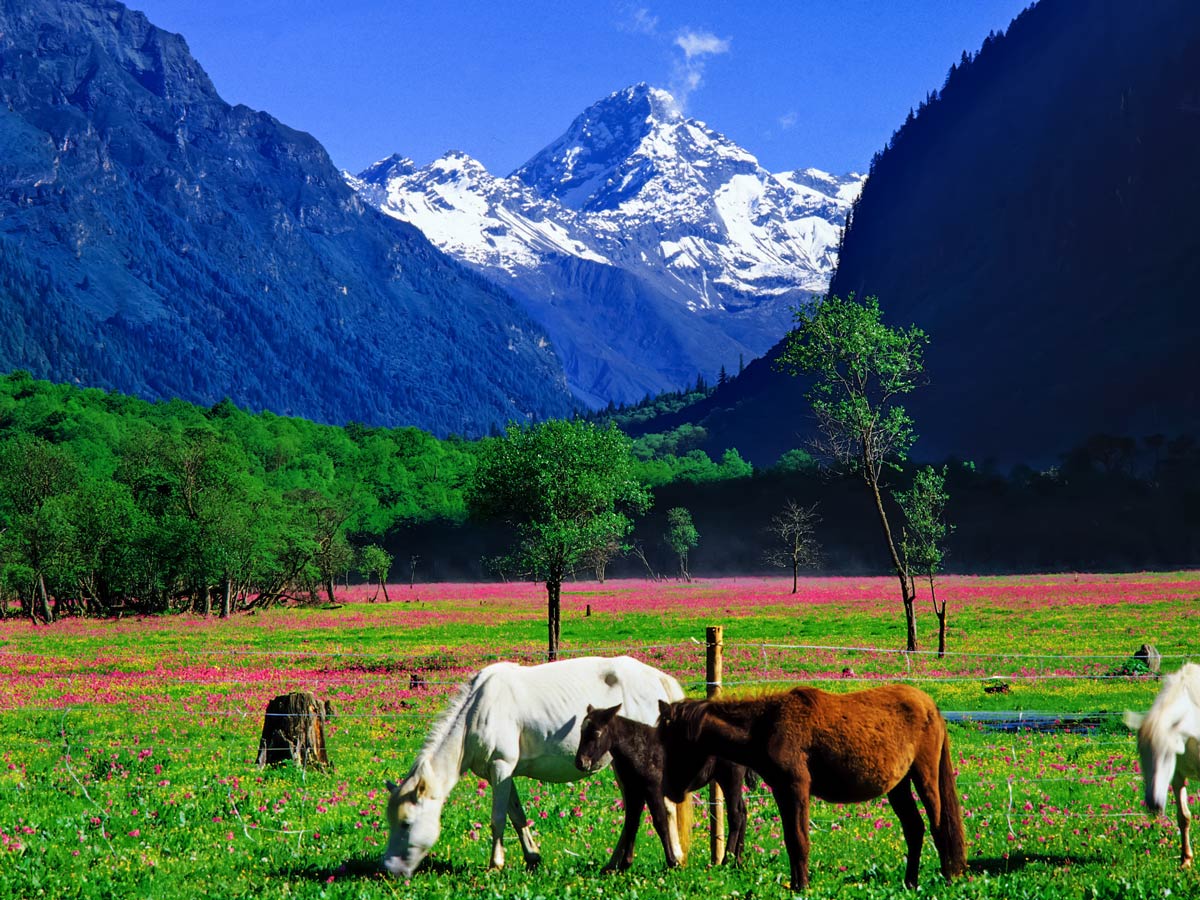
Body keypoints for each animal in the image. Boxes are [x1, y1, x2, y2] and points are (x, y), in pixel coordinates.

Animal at [384, 657, 686, 883]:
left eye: (406, 823)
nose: (388, 869)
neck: (477, 710)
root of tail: (657, 679)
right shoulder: (501, 774)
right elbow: (517, 816)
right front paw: (532, 858)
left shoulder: (501, 767)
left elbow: (497, 819)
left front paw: (495, 864)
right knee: (633, 811)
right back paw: (614, 864)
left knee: (665, 808)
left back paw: (676, 858)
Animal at [657, 686, 964, 892]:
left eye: (675, 743)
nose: (669, 790)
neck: (767, 726)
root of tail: (930, 705)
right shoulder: (782, 791)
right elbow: (792, 841)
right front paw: (795, 885)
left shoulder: (797, 789)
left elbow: (800, 839)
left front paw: (802, 887)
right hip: (898, 786)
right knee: (915, 830)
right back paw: (910, 882)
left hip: (924, 777)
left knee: (939, 826)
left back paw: (947, 878)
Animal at [1123, 662, 1200, 868]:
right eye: (1141, 754)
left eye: (1167, 754)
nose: (1153, 805)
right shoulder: (1177, 776)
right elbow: (1184, 817)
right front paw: (1186, 860)